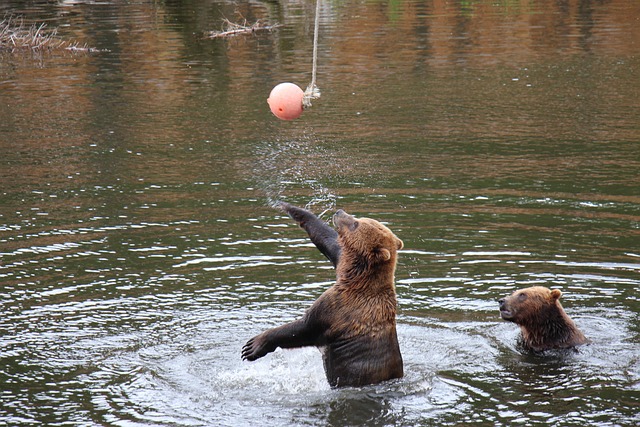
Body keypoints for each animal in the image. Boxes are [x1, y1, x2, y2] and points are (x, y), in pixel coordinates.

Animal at [242, 205, 404, 388]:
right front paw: (291, 208)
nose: (339, 212)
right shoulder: (341, 261)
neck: (357, 279)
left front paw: (252, 346)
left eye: (355, 223)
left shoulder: (338, 310)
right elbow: (328, 240)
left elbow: (303, 328)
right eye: (359, 219)